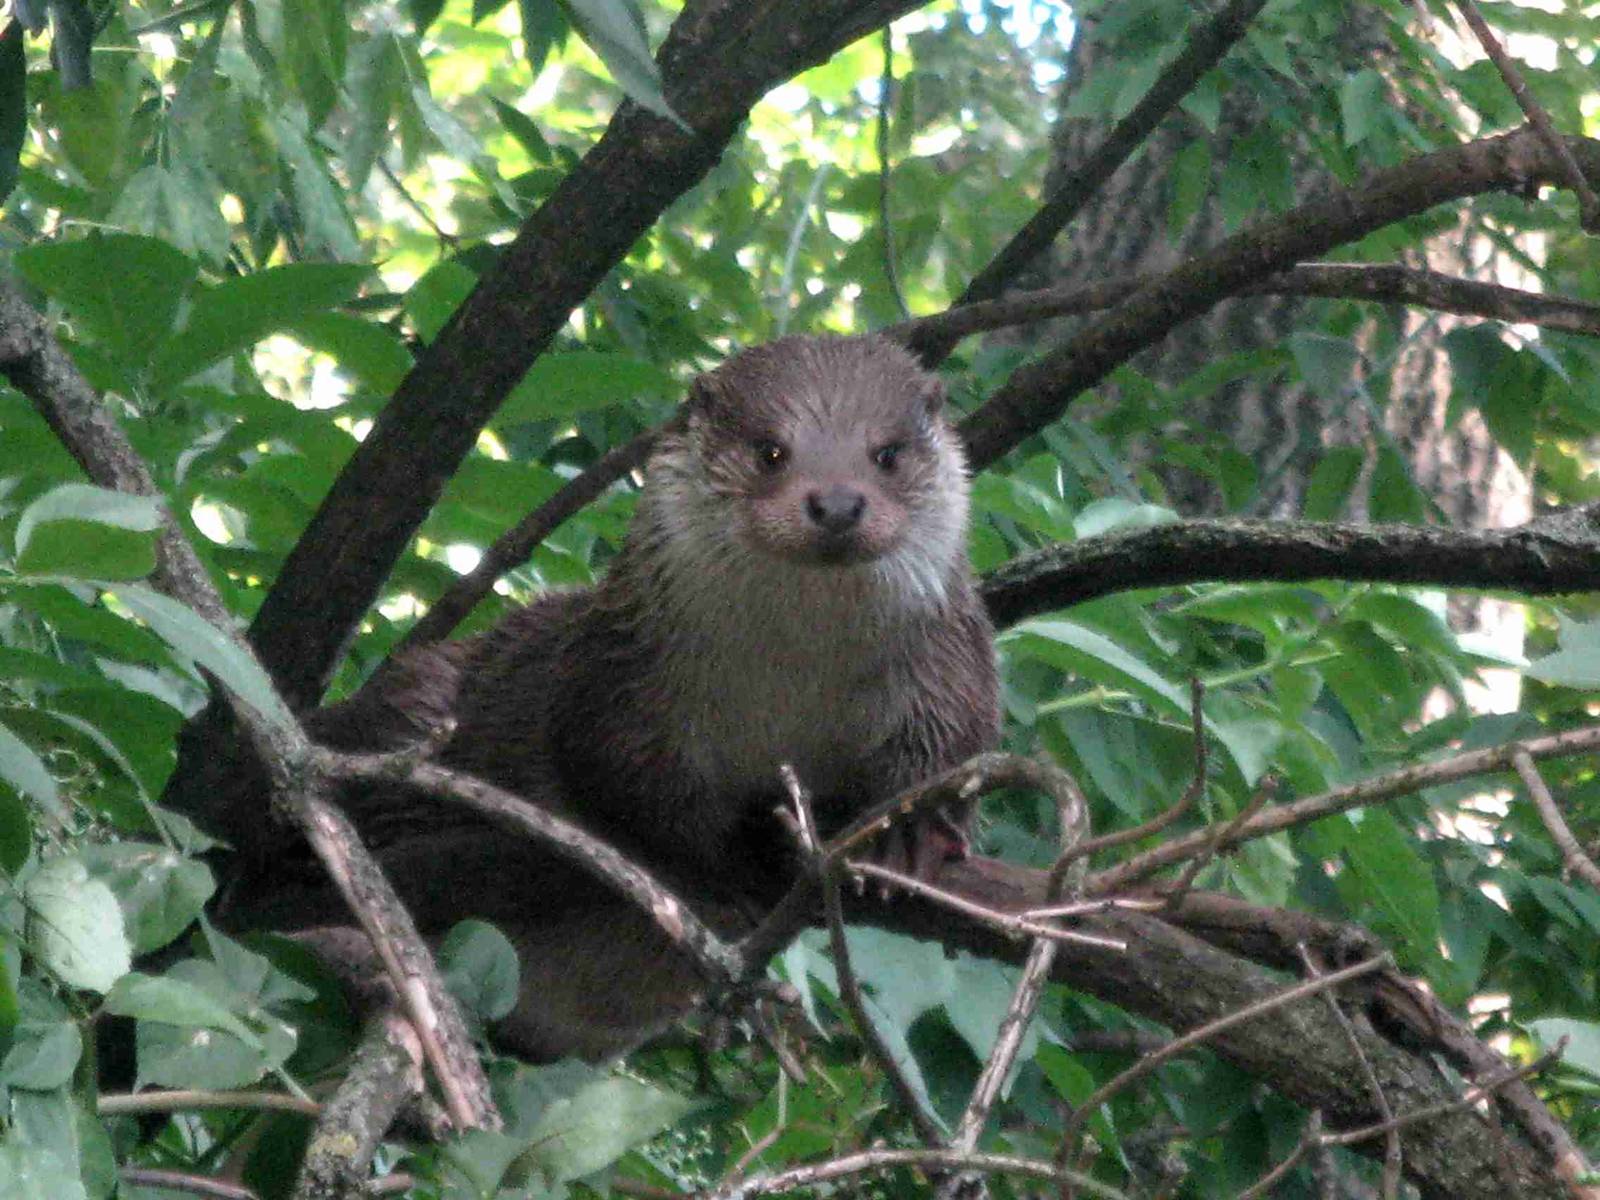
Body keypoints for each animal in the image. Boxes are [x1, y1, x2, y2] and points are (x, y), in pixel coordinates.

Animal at [305, 333, 1000, 1060]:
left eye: (887, 453)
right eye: (770, 450)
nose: (837, 502)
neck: (790, 690)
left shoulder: (950, 665)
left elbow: (959, 741)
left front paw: (910, 832)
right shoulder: (618, 679)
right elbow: (622, 780)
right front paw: (723, 864)